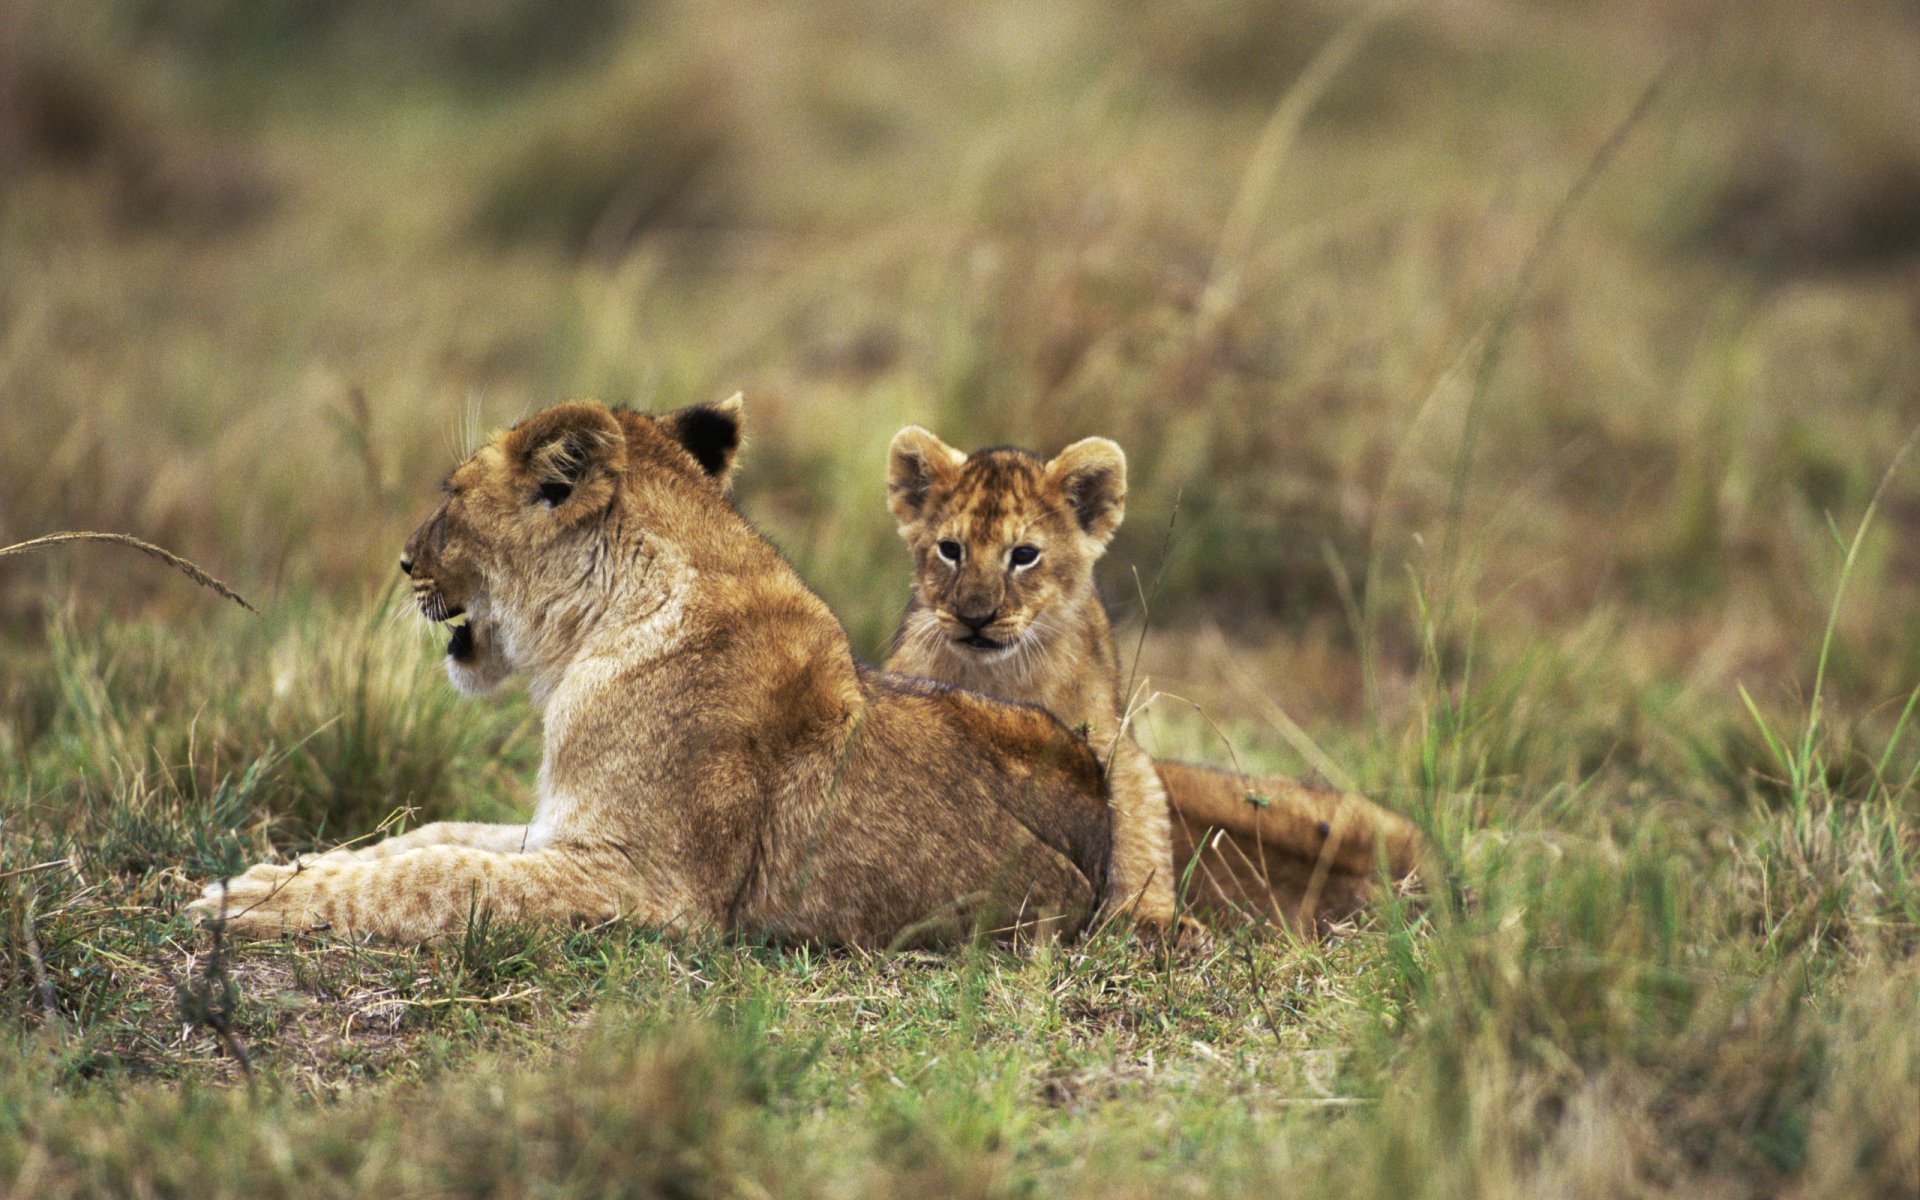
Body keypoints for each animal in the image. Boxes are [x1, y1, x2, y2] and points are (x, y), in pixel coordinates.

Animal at [189, 398, 1113, 946]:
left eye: (451, 495)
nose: (406, 561)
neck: (591, 638)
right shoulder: (560, 830)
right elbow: (433, 837)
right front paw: (281, 870)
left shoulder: (651, 887)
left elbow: (438, 876)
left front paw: (244, 902)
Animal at [883, 427, 1421, 931]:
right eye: (950, 549)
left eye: (1024, 555)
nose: (974, 616)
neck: (998, 674)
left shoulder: (1111, 741)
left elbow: (1137, 826)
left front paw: (1149, 919)